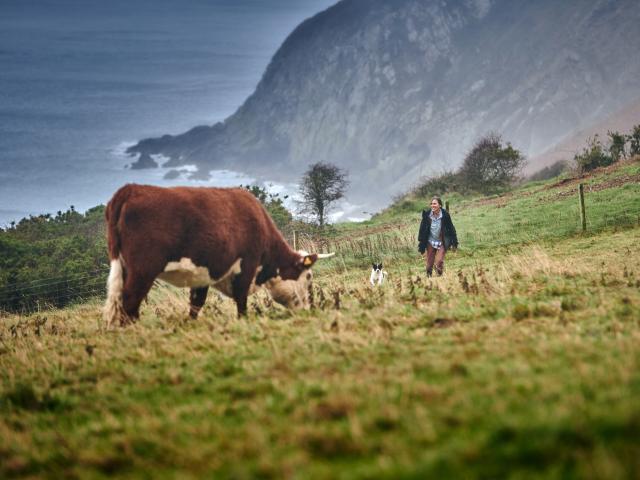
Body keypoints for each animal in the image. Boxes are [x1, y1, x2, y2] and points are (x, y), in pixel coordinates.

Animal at [103, 184, 331, 327]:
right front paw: (243, 321)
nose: (309, 309)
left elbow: (196, 303)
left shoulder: (202, 275)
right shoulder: (246, 265)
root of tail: (130, 189)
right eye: (308, 276)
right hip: (143, 268)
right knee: (130, 300)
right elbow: (241, 299)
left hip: (123, 266)